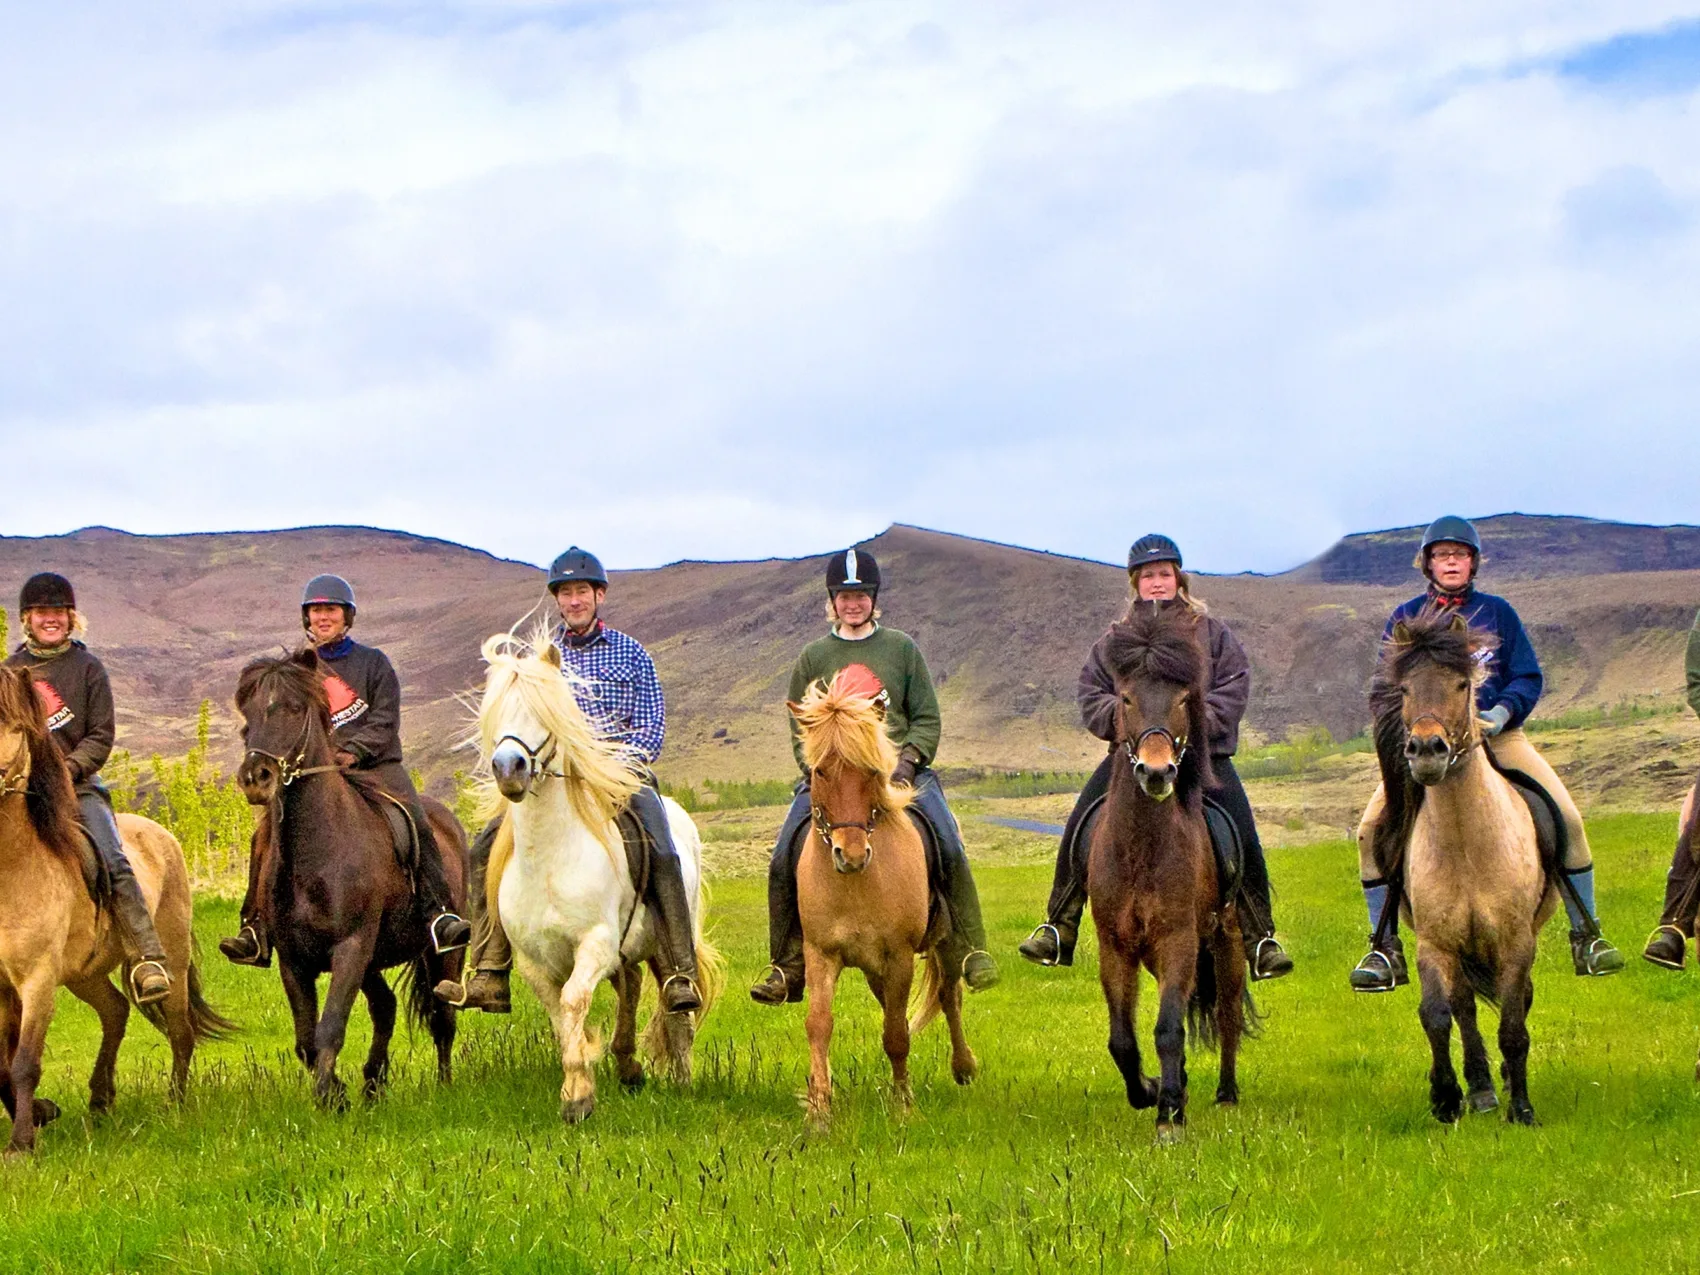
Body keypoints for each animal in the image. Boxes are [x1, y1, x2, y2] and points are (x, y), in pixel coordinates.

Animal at [0, 663, 236, 1156]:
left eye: (16, 726)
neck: (13, 866)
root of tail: (161, 833)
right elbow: (0, 1063)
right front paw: (41, 1115)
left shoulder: (37, 980)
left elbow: (25, 1061)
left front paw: (21, 1145)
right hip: (85, 973)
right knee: (115, 1011)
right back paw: (100, 1100)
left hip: (170, 959)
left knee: (180, 1031)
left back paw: (174, 1105)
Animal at [234, 652, 465, 1115]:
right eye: (247, 714)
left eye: (293, 708)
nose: (256, 777)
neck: (319, 852)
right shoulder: (295, 961)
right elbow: (307, 1039)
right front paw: (339, 1091)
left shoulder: (351, 948)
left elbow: (330, 1028)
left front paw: (330, 1097)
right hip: (372, 962)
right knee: (386, 1007)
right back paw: (373, 1083)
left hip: (440, 954)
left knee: (442, 1016)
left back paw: (445, 1085)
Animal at [788, 669, 979, 1128]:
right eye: (821, 771)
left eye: (870, 770)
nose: (852, 854)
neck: (857, 885)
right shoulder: (822, 953)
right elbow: (819, 1024)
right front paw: (819, 1109)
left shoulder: (899, 956)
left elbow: (895, 1034)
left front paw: (904, 1105)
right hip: (875, 969)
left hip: (941, 947)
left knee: (949, 995)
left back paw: (964, 1066)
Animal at [1088, 605, 1251, 1142]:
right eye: (1126, 697)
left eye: (1182, 698)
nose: (1157, 773)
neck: (1141, 850)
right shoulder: (1115, 946)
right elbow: (1123, 1039)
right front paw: (1154, 1091)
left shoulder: (1178, 939)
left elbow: (1168, 1028)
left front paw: (1169, 1116)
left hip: (1228, 943)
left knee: (1226, 1015)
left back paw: (1225, 1094)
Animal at [1373, 608, 1557, 1128]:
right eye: (1404, 688)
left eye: (1461, 684)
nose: (1426, 750)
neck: (1466, 845)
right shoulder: (1435, 944)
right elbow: (1437, 1015)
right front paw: (1446, 1097)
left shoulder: (1516, 942)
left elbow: (1514, 1025)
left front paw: (1522, 1109)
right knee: (1465, 1009)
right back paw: (1480, 1089)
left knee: (1517, 1002)